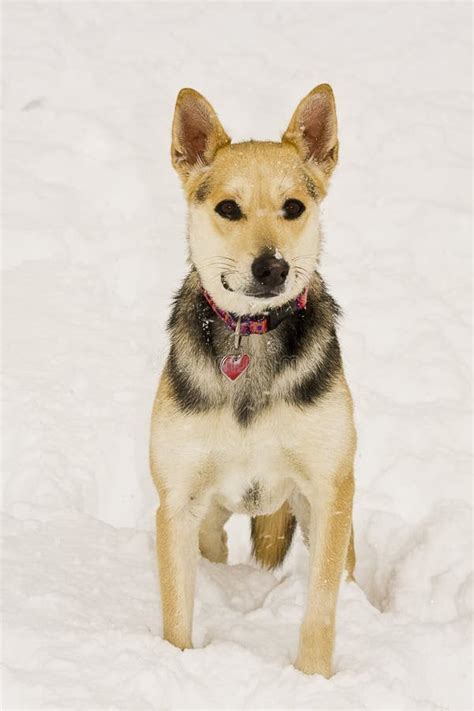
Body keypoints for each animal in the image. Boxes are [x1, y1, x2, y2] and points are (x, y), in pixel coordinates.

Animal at [150, 85, 358, 680]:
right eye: (228, 209)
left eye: (293, 207)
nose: (273, 267)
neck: (252, 334)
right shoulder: (176, 501)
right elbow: (176, 610)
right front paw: (174, 668)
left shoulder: (329, 487)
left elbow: (322, 605)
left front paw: (312, 679)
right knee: (214, 540)